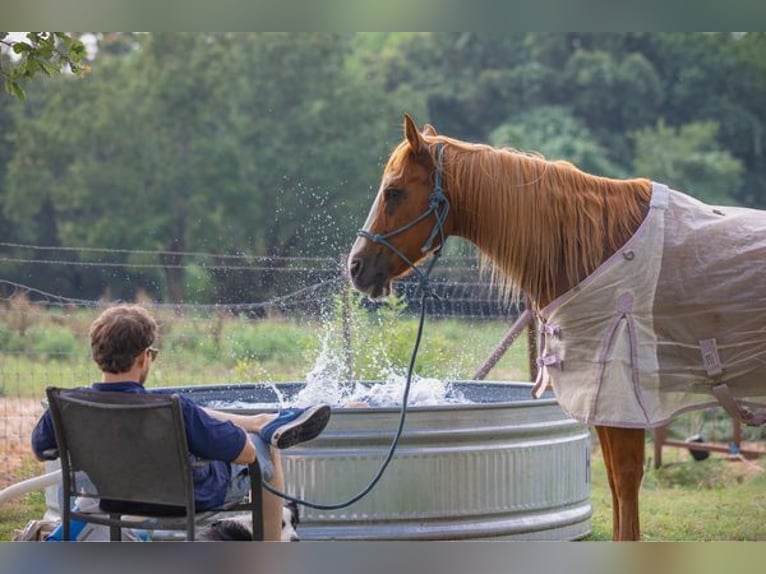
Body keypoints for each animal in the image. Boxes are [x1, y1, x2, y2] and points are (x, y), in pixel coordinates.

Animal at [347, 114, 766, 541]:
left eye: (393, 191)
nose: (356, 267)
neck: (595, 250)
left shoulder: (620, 402)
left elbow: (626, 483)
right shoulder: (603, 403)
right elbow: (615, 485)